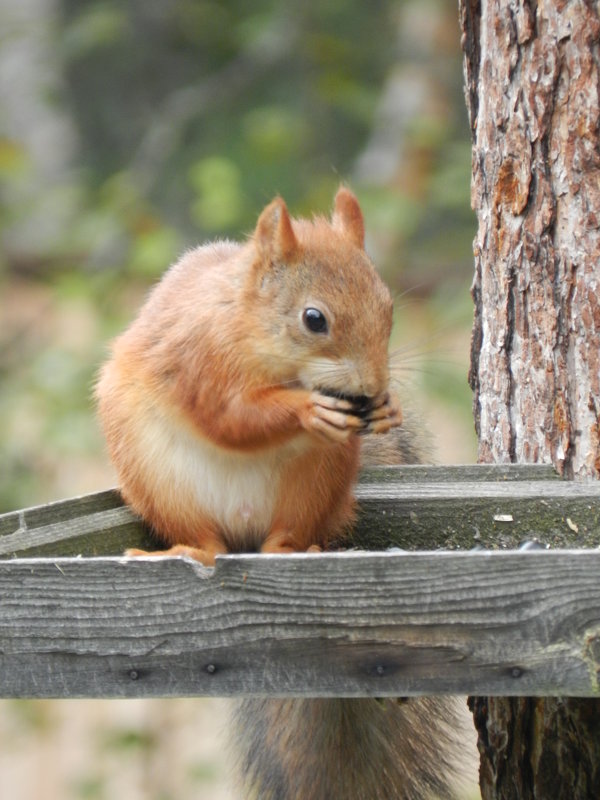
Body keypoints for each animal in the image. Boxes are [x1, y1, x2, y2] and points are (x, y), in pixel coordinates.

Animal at [96, 188, 400, 564]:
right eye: (314, 319)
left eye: (388, 307)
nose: (373, 385)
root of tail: (242, 521)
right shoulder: (201, 358)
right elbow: (230, 418)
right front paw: (309, 409)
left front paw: (389, 407)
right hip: (159, 482)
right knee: (208, 544)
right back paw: (177, 552)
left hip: (318, 480)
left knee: (281, 538)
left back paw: (295, 550)